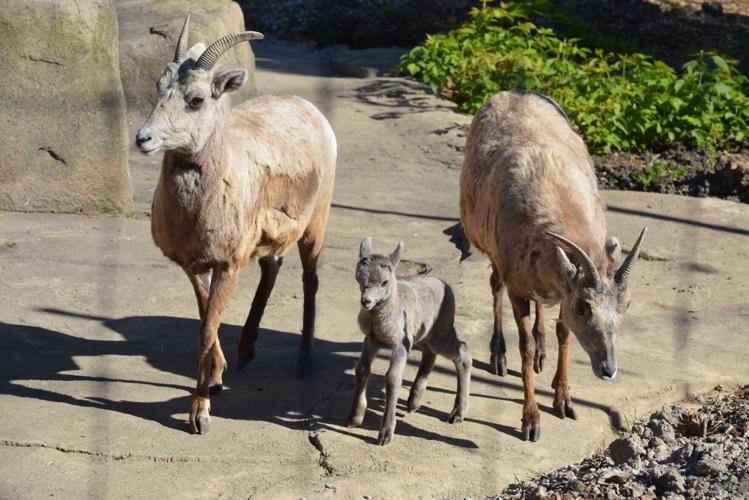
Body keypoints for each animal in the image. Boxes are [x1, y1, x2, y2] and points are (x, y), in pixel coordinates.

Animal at [135, 15, 336, 434]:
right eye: (160, 88)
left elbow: (208, 327)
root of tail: (310, 110)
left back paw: (303, 362)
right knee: (272, 267)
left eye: (196, 100)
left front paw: (200, 414)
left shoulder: (228, 265)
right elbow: (205, 319)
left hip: (315, 227)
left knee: (309, 280)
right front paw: (217, 377)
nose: (143, 139)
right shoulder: (195, 266)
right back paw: (246, 351)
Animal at [348, 237, 472, 445]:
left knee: (462, 353)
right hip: (422, 337)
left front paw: (385, 435)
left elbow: (392, 379)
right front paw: (354, 418)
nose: (366, 302)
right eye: (358, 278)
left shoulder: (401, 345)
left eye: (385, 282)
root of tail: (445, 286)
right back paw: (414, 402)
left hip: (440, 334)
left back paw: (457, 414)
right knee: (430, 355)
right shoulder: (372, 340)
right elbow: (362, 370)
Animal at [459, 91, 646, 442]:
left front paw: (564, 402)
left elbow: (564, 333)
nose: (608, 369)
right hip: (491, 252)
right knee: (495, 285)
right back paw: (498, 357)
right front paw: (530, 422)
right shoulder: (517, 285)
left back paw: (542, 355)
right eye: (584, 308)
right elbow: (525, 346)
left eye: (625, 305)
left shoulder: (563, 288)